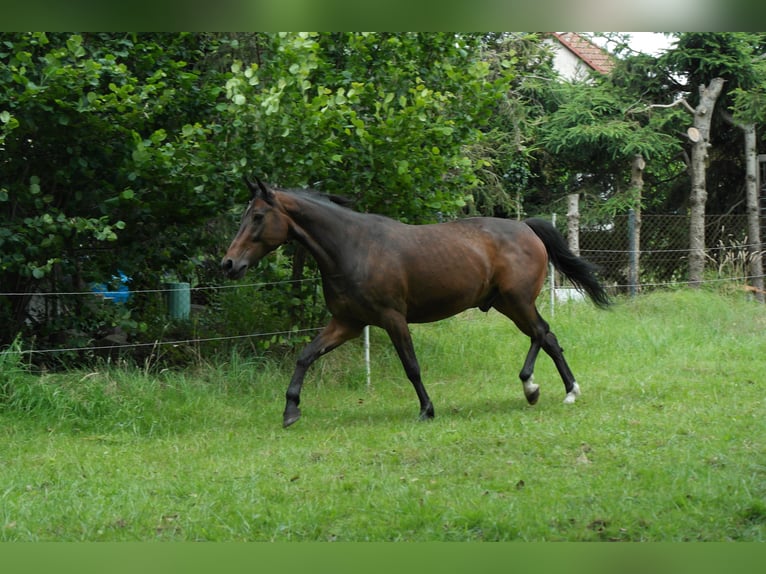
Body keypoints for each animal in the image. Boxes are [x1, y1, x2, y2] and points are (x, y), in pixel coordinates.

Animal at [222, 178, 610, 427]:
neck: (352, 247)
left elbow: (411, 366)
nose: (229, 264)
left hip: (518, 301)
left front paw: (426, 410)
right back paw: (560, 390)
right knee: (547, 337)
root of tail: (526, 228)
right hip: (507, 304)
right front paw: (291, 411)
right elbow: (305, 356)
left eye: (257, 217)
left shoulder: (393, 318)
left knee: (542, 334)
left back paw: (539, 387)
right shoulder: (347, 323)